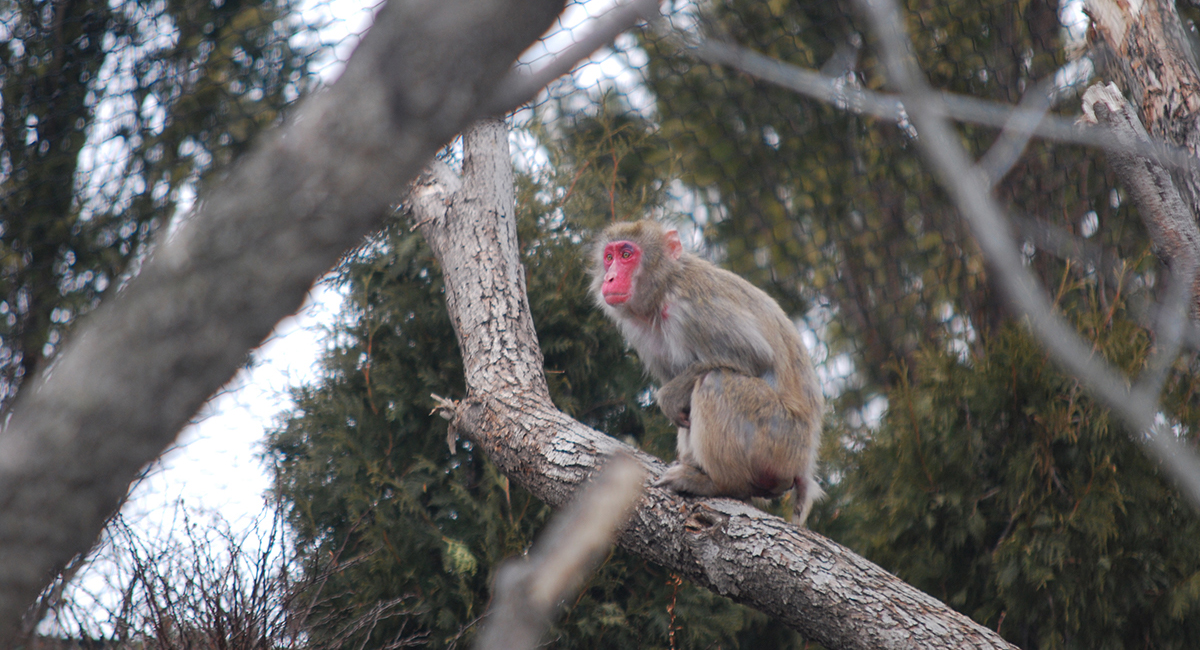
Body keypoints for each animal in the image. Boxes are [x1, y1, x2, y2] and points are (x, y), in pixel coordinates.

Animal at [590, 221, 825, 527]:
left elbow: (755, 357)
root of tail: (805, 462)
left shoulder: (691, 308)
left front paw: (669, 396)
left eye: (627, 254)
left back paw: (719, 483)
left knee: (717, 381)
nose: (609, 278)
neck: (664, 289)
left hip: (781, 442)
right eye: (609, 257)